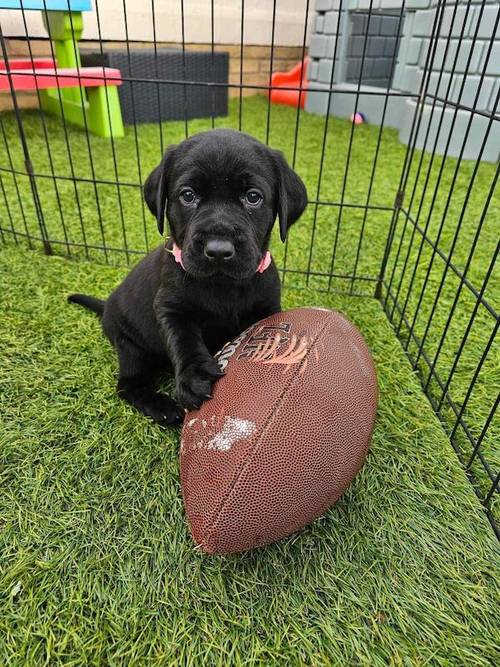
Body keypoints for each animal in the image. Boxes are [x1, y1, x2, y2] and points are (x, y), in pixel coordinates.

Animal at [68, 128, 306, 426]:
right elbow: (183, 338)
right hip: (130, 346)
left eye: (253, 197)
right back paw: (162, 406)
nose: (218, 251)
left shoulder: (267, 306)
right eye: (188, 195)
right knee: (129, 384)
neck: (223, 286)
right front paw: (195, 376)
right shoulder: (170, 307)